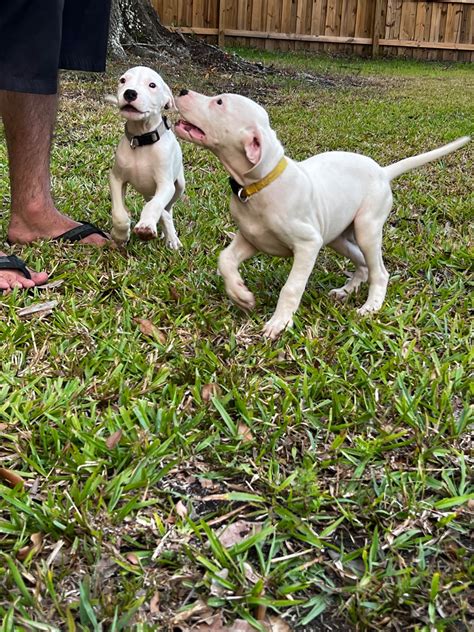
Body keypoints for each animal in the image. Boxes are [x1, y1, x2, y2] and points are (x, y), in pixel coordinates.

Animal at [107, 65, 183, 248]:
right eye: (123, 80)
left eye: (152, 85)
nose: (129, 93)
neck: (142, 140)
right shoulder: (116, 179)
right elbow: (119, 213)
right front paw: (120, 234)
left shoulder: (165, 185)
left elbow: (154, 206)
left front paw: (146, 226)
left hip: (179, 186)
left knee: (167, 209)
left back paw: (171, 238)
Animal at [175, 89, 470, 340]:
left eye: (219, 102)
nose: (181, 91)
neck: (259, 185)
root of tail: (382, 171)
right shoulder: (251, 238)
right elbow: (225, 259)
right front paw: (240, 294)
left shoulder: (308, 244)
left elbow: (291, 287)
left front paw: (279, 323)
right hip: (337, 236)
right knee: (362, 263)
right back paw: (346, 291)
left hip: (366, 228)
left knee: (379, 272)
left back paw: (370, 306)